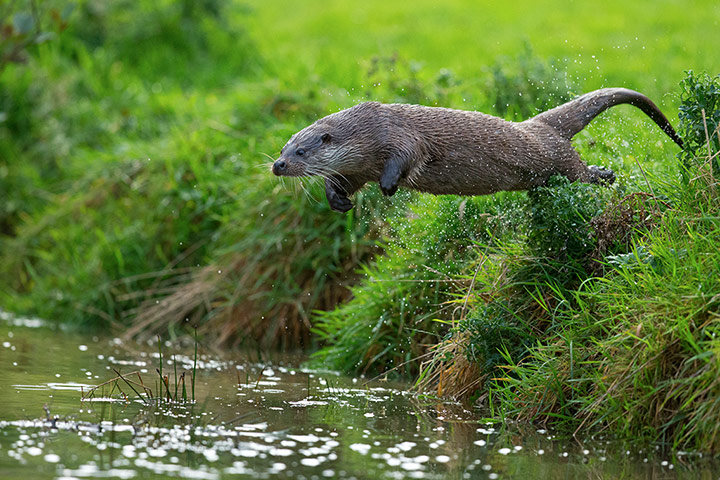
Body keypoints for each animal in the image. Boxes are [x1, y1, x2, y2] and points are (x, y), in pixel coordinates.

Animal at [272, 88, 684, 212]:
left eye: (302, 152)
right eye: (284, 147)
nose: (278, 165)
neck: (365, 132)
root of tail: (539, 126)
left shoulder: (396, 133)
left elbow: (407, 156)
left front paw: (389, 185)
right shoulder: (359, 166)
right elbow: (345, 181)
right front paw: (337, 201)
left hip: (557, 157)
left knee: (579, 173)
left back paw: (606, 175)